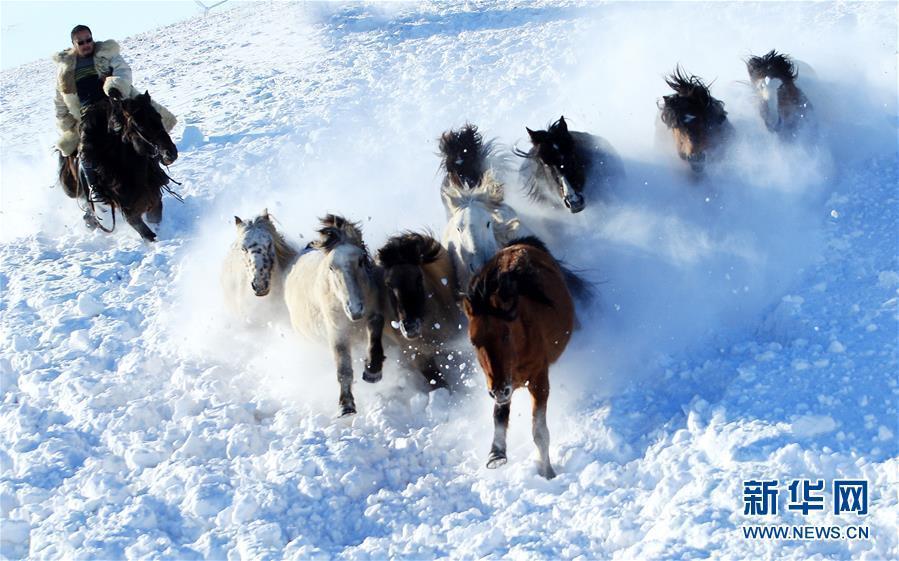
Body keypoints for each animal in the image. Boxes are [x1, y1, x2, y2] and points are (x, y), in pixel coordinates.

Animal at [57, 90, 178, 241]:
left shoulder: (155, 202)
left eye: (158, 117)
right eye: (139, 126)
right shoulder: (130, 214)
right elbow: (148, 235)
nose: (170, 153)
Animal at [284, 214, 386, 416]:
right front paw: (346, 406)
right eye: (331, 268)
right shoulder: (337, 332)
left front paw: (372, 371)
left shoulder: (373, 313)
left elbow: (375, 334)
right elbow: (343, 367)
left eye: (361, 260)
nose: (355, 310)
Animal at [460, 234, 580, 480]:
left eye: (505, 334)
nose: (498, 390)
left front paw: (547, 472)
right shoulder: (503, 383)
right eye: (474, 342)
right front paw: (496, 454)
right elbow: (499, 416)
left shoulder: (538, 379)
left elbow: (539, 431)